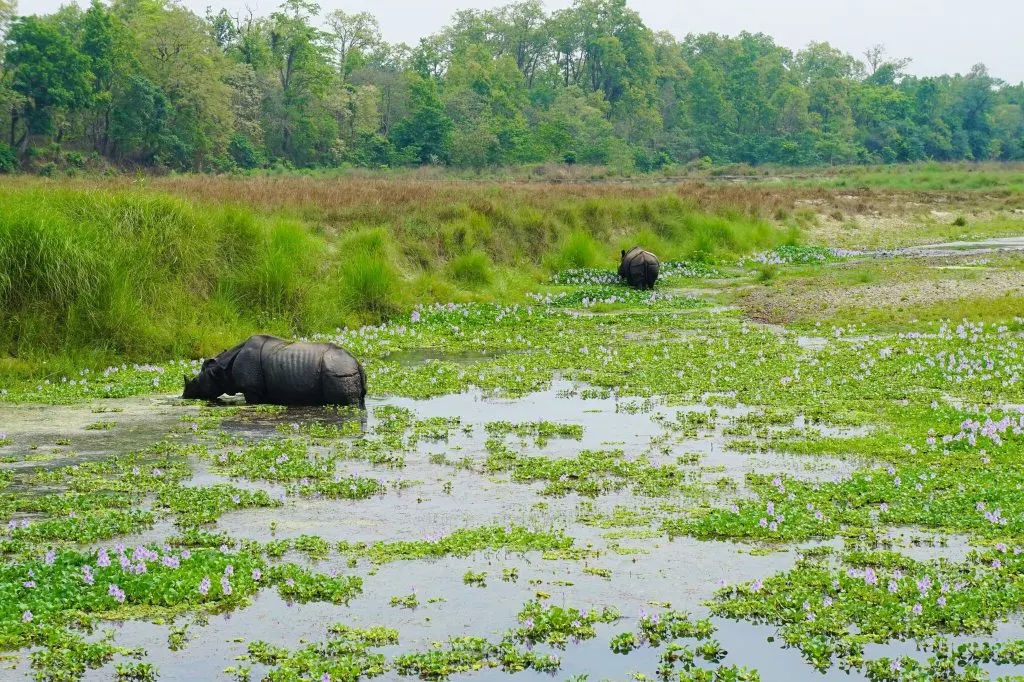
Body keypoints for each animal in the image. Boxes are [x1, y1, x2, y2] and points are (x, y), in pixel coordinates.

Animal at [184, 333, 368, 405]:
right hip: (344, 369)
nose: (185, 395)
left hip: (338, 371)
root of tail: (357, 362)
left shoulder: (251, 389)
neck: (221, 369)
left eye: (196, 381)